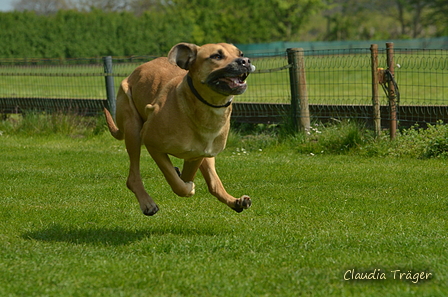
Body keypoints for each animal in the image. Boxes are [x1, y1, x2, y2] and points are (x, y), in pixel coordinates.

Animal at [103, 42, 254, 215]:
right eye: (216, 56)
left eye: (240, 53)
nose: (245, 61)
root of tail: (133, 73)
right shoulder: (152, 143)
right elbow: (178, 184)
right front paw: (186, 185)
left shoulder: (200, 154)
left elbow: (189, 175)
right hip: (132, 128)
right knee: (133, 176)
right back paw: (147, 203)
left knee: (213, 184)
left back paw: (235, 201)